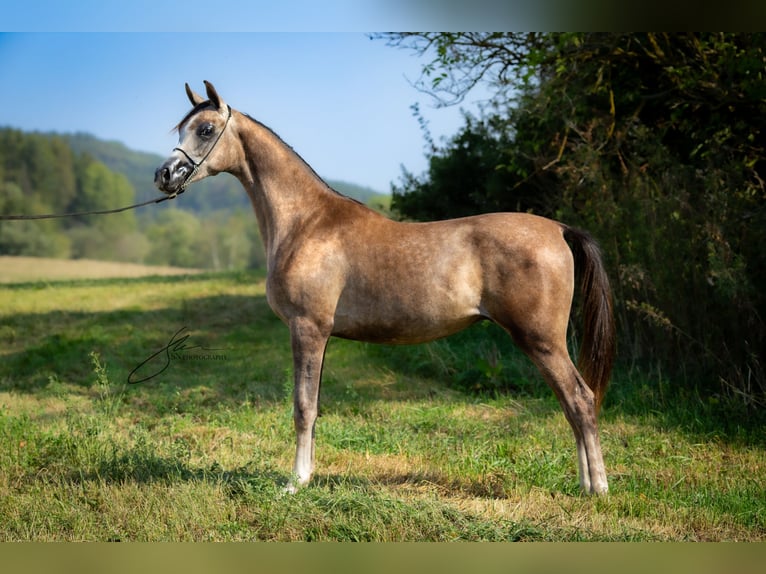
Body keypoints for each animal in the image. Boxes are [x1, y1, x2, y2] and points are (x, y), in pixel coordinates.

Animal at [156, 80, 616, 496]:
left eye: (206, 129)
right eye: (183, 129)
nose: (165, 175)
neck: (307, 222)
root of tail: (558, 229)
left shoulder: (307, 329)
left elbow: (303, 407)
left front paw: (295, 482)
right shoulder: (320, 335)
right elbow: (315, 406)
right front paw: (308, 475)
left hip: (541, 339)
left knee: (579, 399)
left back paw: (597, 488)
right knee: (571, 404)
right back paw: (583, 483)